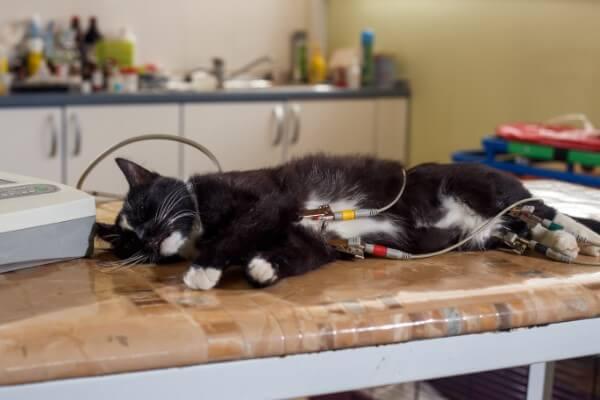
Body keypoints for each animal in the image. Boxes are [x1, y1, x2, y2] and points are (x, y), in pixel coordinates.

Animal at [96, 155, 600, 290]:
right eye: (129, 242)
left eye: (145, 208)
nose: (150, 237)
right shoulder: (313, 238)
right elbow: (298, 253)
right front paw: (264, 268)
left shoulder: (272, 200)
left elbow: (243, 229)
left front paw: (202, 271)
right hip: (484, 235)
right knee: (523, 228)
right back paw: (560, 245)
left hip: (482, 186)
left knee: (542, 206)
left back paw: (581, 236)